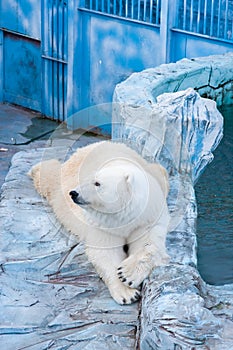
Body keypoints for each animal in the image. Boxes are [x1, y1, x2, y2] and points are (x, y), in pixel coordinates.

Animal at [28, 141, 169, 304]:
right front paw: (127, 292)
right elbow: (105, 251)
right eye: (87, 180)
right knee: (49, 179)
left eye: (97, 183)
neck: (125, 214)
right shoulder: (102, 224)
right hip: (62, 183)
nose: (73, 193)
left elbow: (149, 242)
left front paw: (127, 274)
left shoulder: (147, 216)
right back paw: (36, 169)